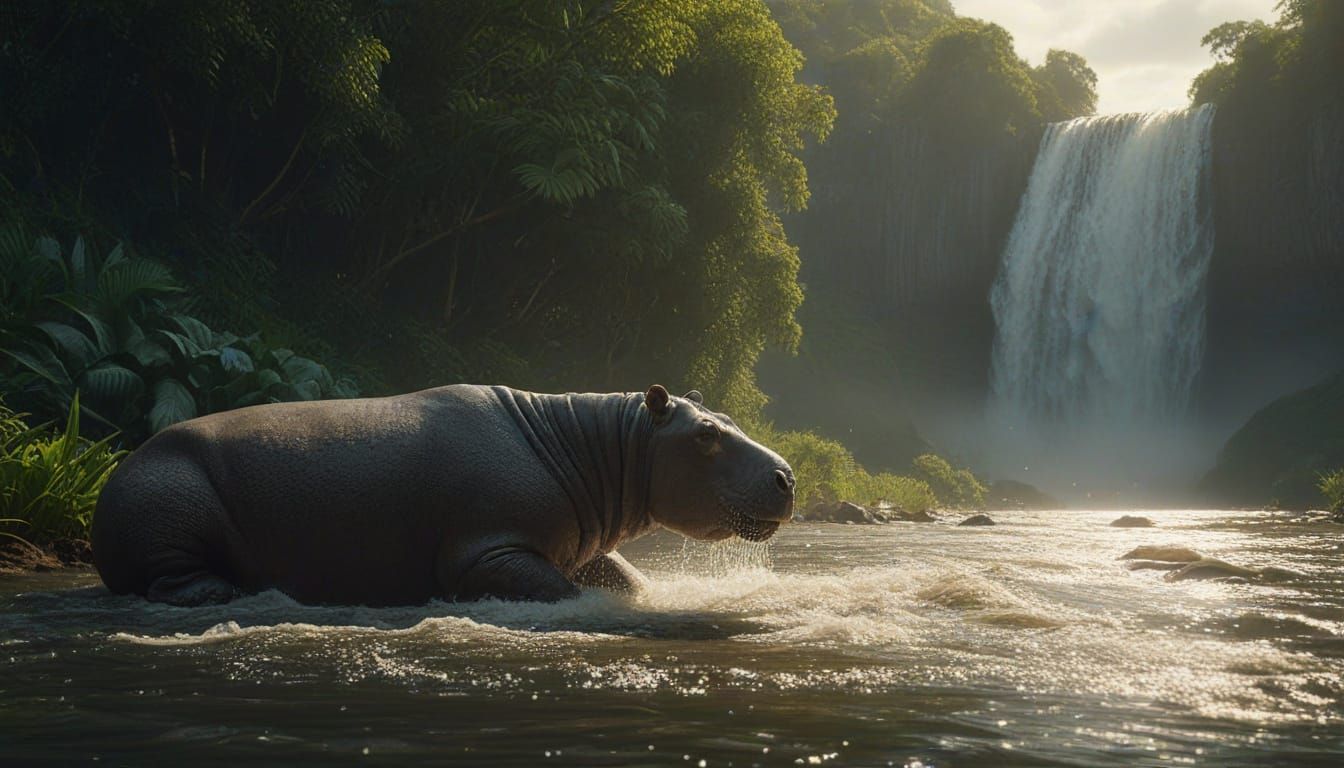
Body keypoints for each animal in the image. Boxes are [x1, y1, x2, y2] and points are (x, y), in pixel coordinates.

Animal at [91, 384, 795, 606]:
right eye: (706, 434)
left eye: (724, 415)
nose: (788, 475)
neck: (598, 446)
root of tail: (118, 468)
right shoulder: (484, 552)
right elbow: (562, 592)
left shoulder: (576, 546)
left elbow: (625, 577)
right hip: (169, 504)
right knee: (172, 576)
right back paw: (225, 594)